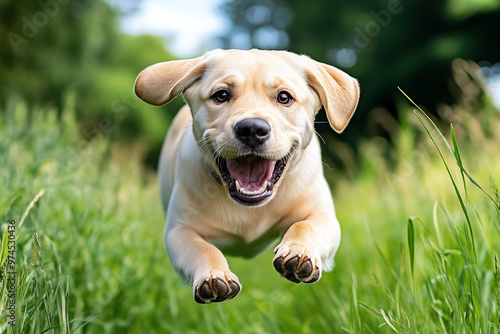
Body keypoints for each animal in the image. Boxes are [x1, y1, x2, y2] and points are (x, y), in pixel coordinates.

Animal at [135, 49, 358, 302]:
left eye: (284, 97)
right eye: (221, 95)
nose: (252, 129)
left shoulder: (323, 214)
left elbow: (306, 225)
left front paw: (298, 252)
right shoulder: (178, 231)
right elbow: (202, 247)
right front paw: (213, 276)